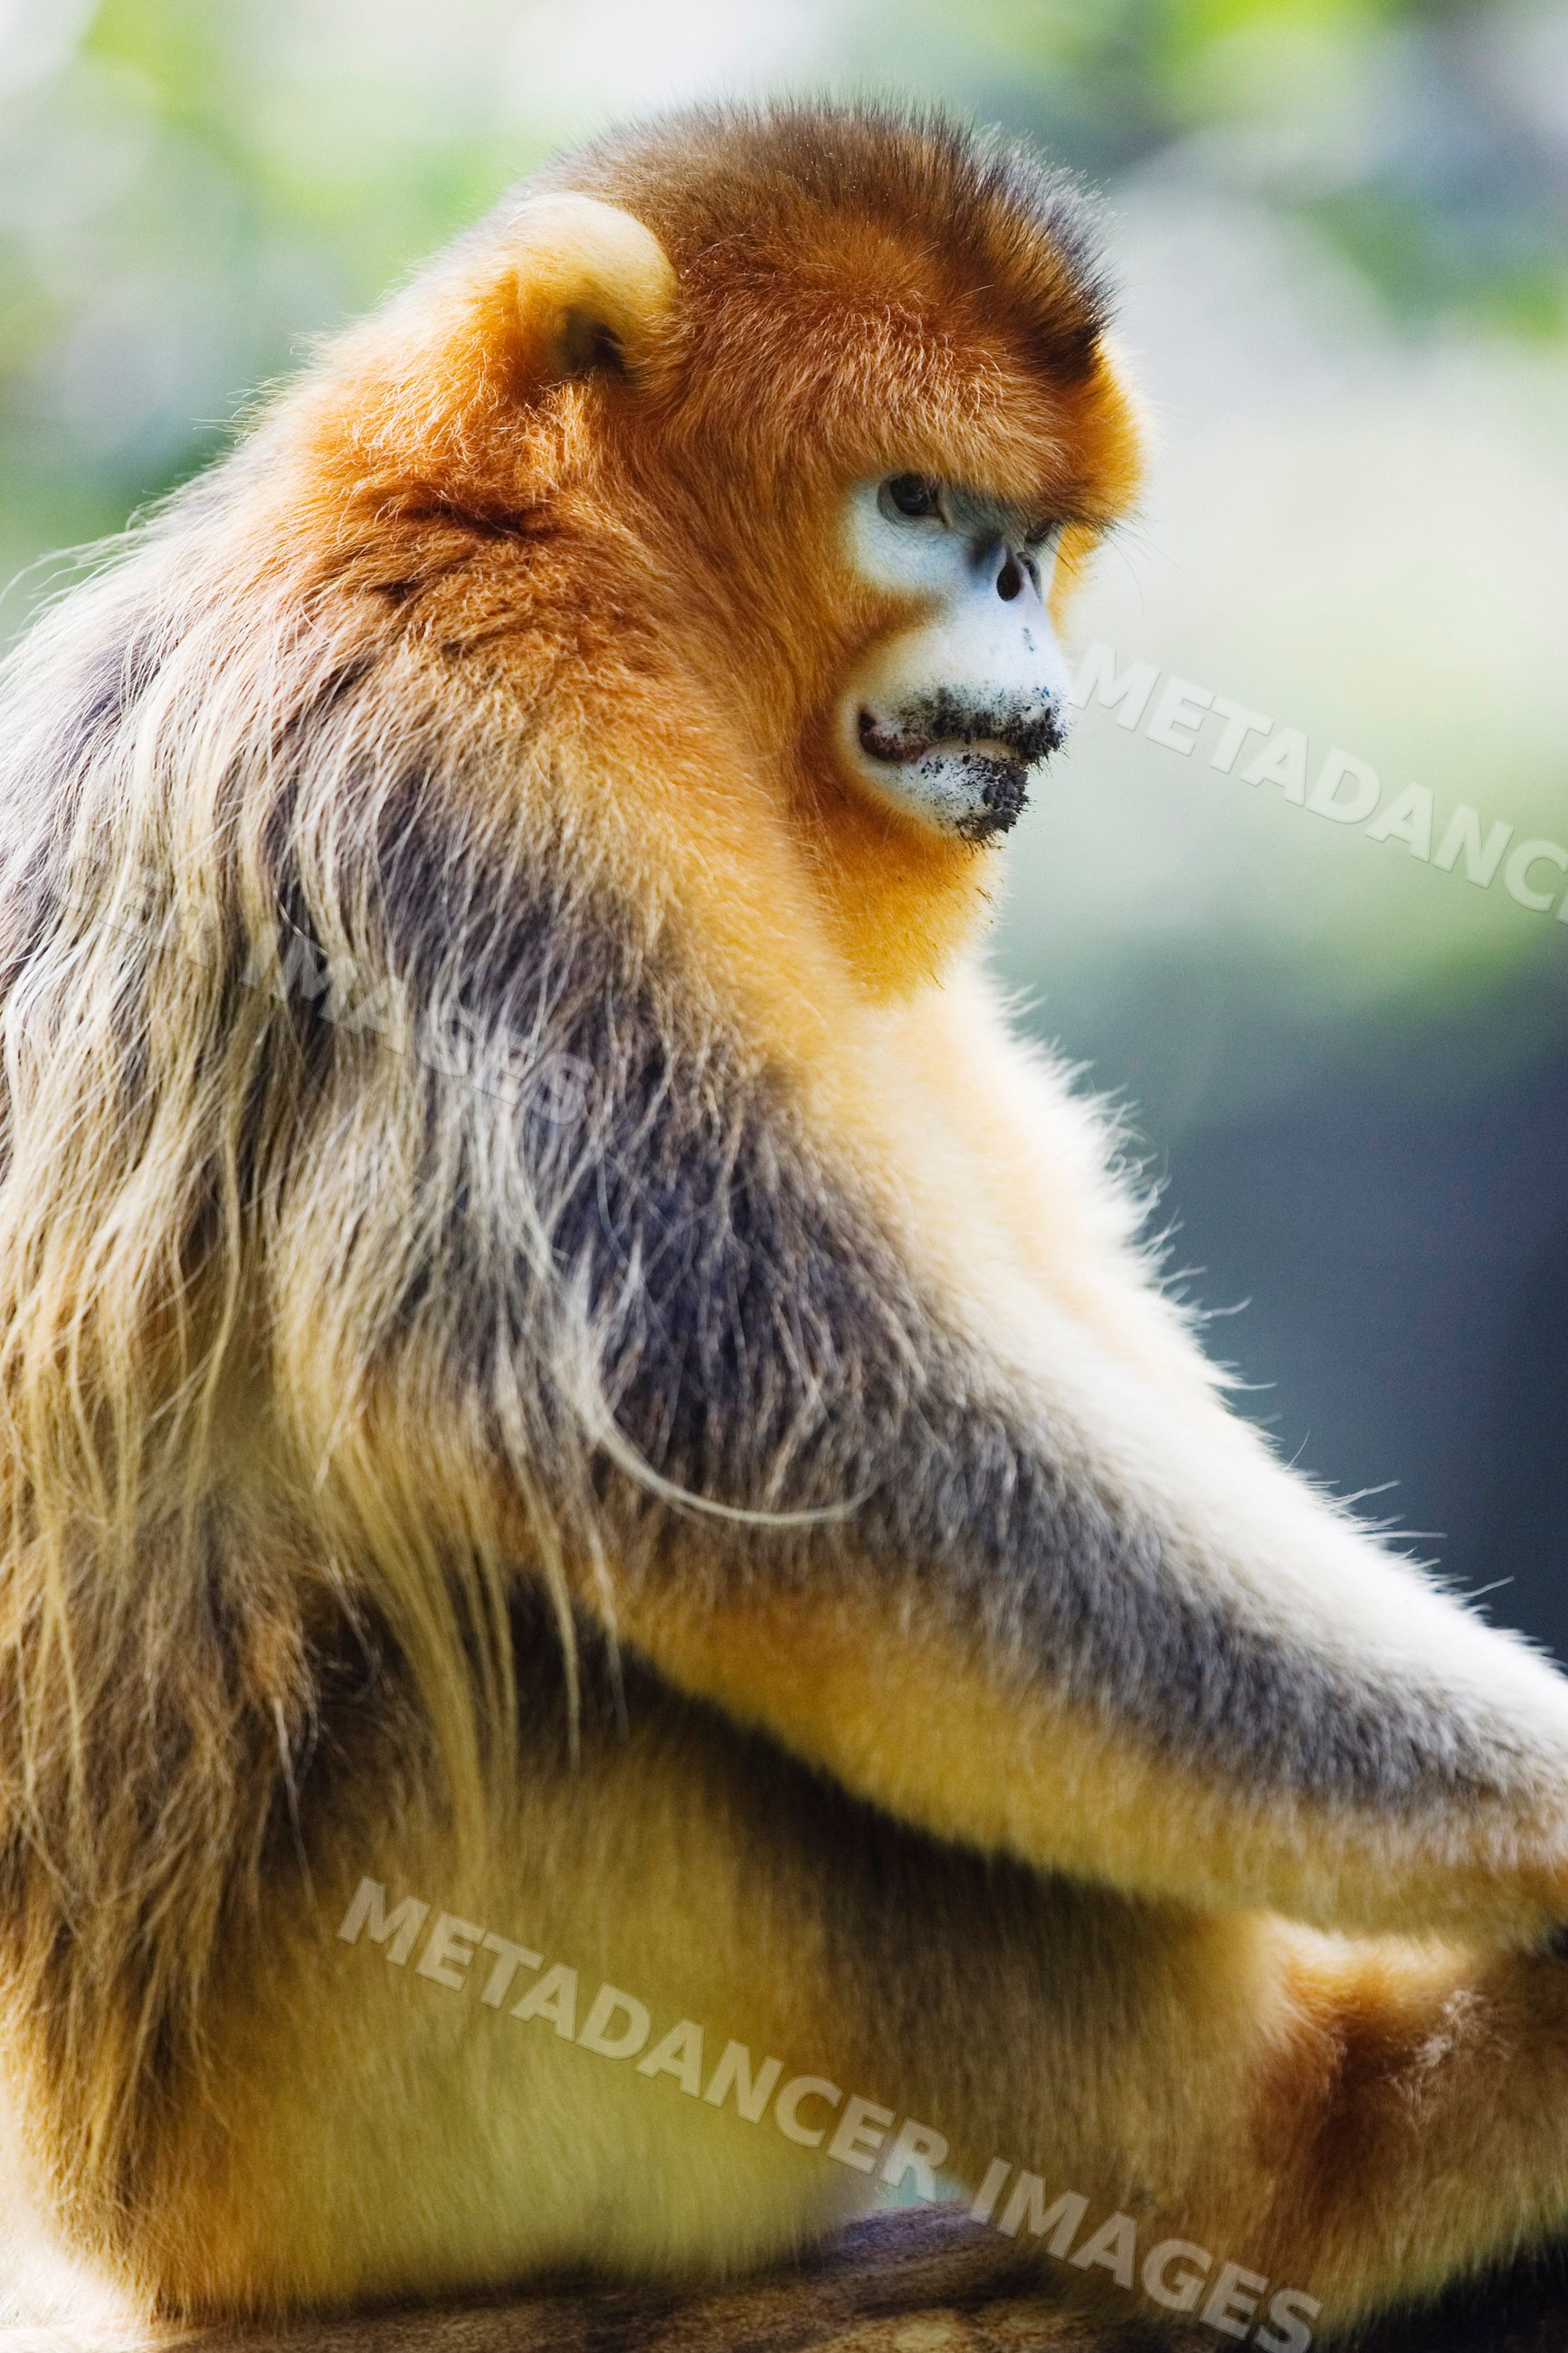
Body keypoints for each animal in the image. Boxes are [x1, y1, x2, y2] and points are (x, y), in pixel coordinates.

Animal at [3, 95, 1568, 2343]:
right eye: (916, 508)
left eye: (1026, 536)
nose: (1012, 623)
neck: (512, 543)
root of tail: (121, 2236)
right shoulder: (472, 771)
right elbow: (769, 1428)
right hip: (323, 2121)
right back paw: (1311, 2163)